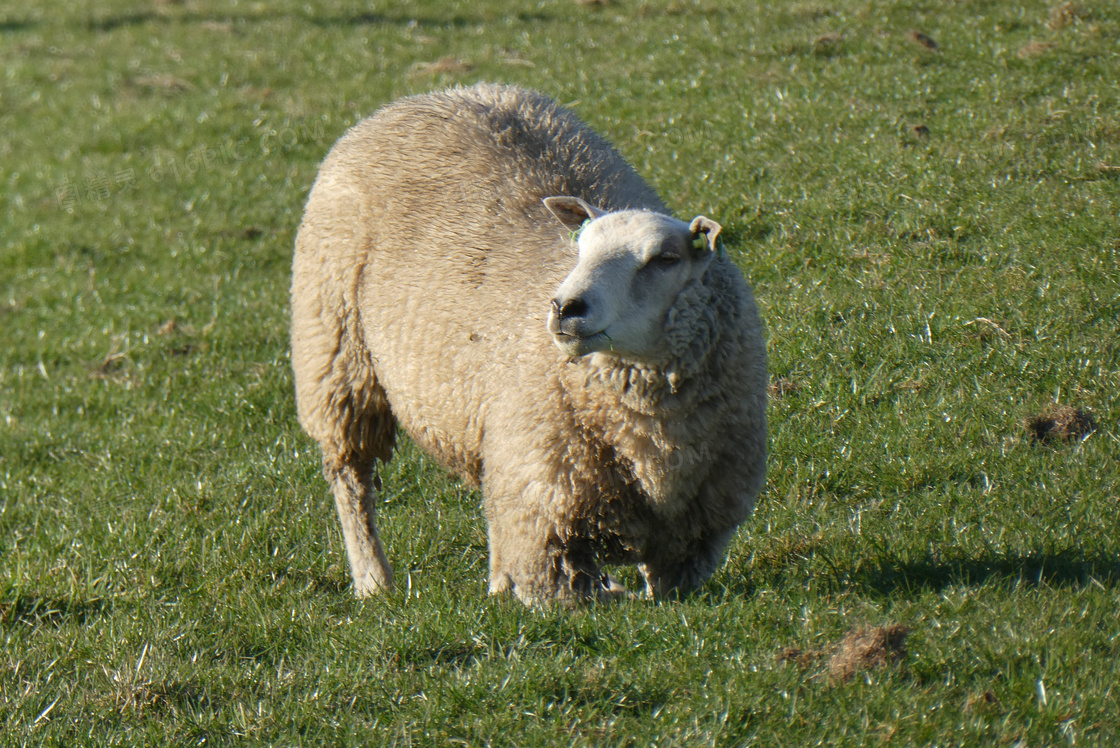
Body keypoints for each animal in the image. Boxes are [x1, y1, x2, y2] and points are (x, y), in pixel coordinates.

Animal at [291, 81, 770, 604]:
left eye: (664, 259)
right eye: (580, 247)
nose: (564, 307)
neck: (652, 437)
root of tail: (430, 95)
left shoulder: (693, 534)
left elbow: (663, 590)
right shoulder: (546, 508)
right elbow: (559, 593)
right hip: (337, 354)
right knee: (351, 477)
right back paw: (374, 579)